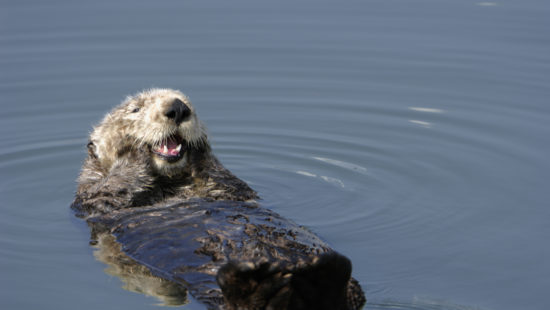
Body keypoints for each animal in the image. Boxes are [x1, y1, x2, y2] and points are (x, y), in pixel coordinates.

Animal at [72, 88, 366, 308]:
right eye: (135, 109)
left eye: (187, 102)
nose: (178, 108)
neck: (170, 185)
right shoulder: (90, 200)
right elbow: (109, 190)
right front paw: (132, 153)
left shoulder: (231, 189)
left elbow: (224, 179)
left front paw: (201, 148)